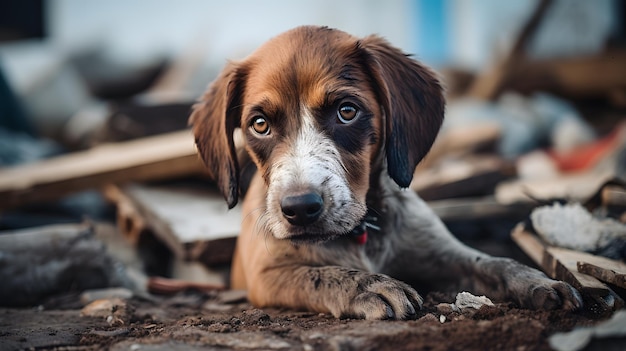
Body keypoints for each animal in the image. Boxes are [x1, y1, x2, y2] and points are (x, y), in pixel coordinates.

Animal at [189, 26, 580, 320]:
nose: (299, 208)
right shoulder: (266, 276)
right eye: (259, 124)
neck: (362, 231)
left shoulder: (441, 253)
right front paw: (369, 285)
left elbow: (492, 263)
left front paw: (536, 281)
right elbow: (321, 274)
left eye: (347, 111)